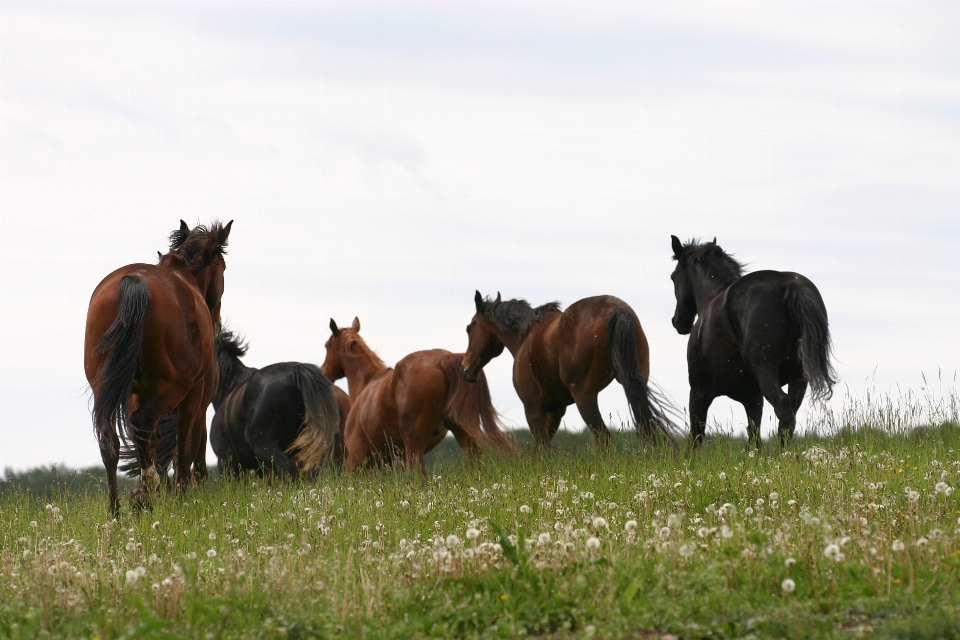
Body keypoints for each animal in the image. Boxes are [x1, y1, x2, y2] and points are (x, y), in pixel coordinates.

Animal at [83, 220, 232, 516]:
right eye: (223, 267)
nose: (218, 323)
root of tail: (135, 282)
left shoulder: (138, 393)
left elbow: (158, 442)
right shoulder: (195, 396)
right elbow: (186, 448)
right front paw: (183, 496)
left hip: (105, 387)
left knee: (111, 440)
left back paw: (117, 511)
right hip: (178, 387)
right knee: (145, 425)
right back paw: (145, 493)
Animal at [320, 318, 512, 472]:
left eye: (327, 346)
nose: (324, 372)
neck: (367, 383)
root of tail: (442, 358)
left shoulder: (356, 460)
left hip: (414, 446)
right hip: (464, 436)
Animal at [460, 290, 676, 444]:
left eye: (469, 328)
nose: (465, 368)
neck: (525, 336)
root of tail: (616, 309)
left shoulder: (533, 409)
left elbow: (541, 449)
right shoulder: (556, 411)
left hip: (584, 397)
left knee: (602, 436)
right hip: (634, 384)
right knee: (645, 429)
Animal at [672, 232, 836, 448]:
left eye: (673, 277)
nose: (678, 322)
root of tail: (790, 284)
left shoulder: (699, 392)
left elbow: (696, 437)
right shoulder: (753, 397)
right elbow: (754, 437)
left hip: (766, 370)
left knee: (783, 407)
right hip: (799, 377)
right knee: (790, 415)